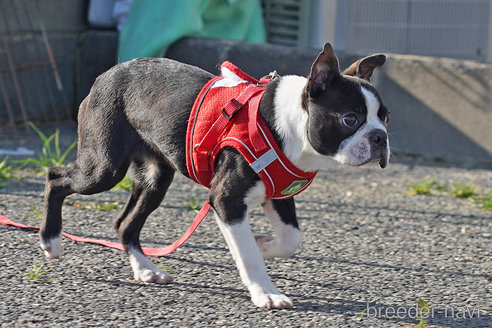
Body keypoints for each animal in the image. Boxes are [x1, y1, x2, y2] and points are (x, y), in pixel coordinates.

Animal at [40, 44, 390, 310]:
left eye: (386, 118)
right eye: (350, 119)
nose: (380, 137)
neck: (291, 126)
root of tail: (107, 74)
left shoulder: (279, 193)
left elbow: (291, 239)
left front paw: (263, 243)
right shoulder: (226, 200)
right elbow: (248, 256)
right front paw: (265, 292)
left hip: (155, 179)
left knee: (125, 224)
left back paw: (146, 270)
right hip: (104, 168)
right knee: (56, 179)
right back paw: (50, 239)